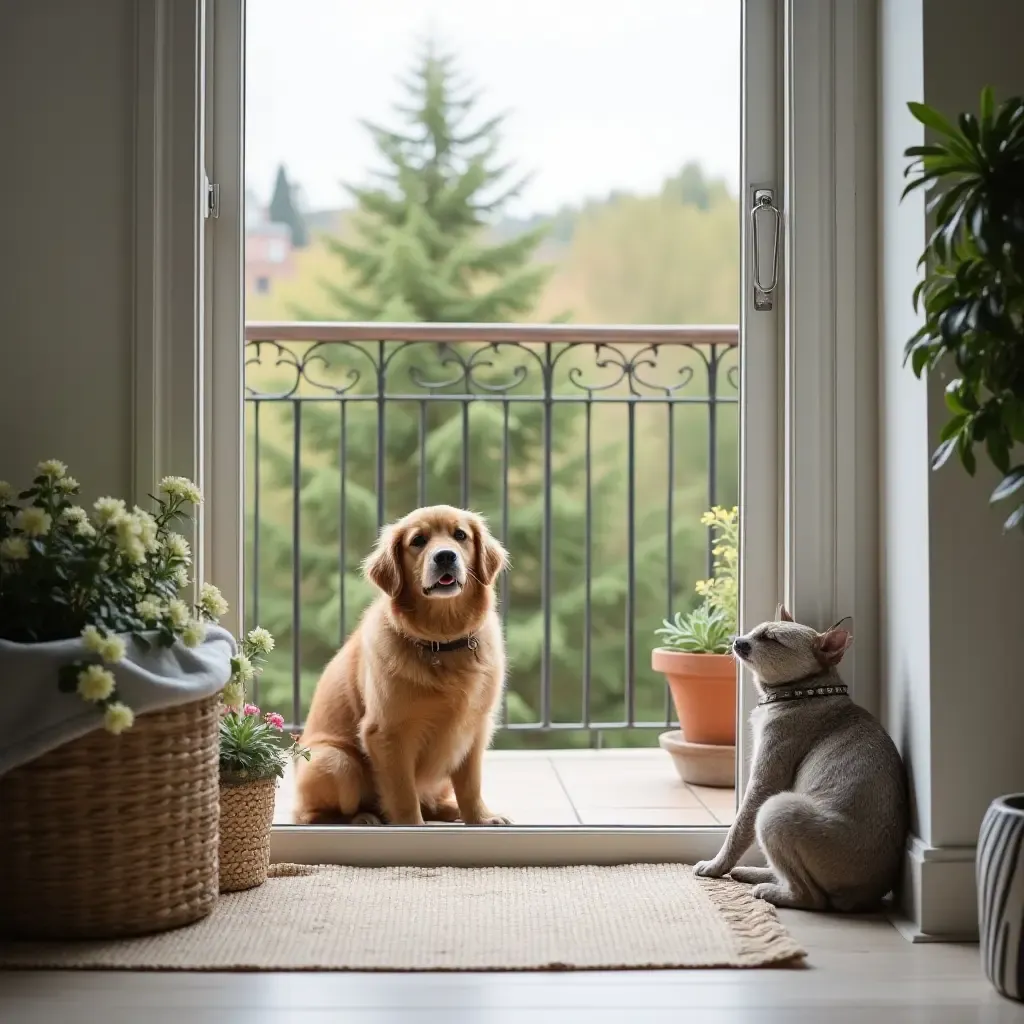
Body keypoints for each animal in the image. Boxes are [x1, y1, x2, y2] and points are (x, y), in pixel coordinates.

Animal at [294, 507, 509, 827]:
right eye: (418, 540)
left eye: (460, 535)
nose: (445, 556)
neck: (440, 641)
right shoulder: (387, 733)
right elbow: (404, 794)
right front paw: (412, 827)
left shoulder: (475, 728)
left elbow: (471, 784)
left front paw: (480, 818)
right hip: (336, 762)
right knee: (312, 815)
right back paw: (363, 818)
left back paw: (449, 810)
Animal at [692, 602, 909, 909]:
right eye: (756, 631)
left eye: (772, 639)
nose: (738, 640)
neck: (804, 692)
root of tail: (867, 894)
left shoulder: (765, 780)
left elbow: (738, 828)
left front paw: (714, 866)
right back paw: (753, 874)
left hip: (775, 811)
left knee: (809, 896)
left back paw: (770, 891)